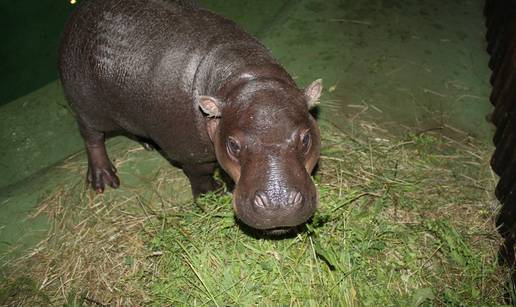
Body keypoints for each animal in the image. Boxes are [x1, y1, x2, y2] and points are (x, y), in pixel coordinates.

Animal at [59, 0, 322, 232]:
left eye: (306, 139)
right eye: (233, 145)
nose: (279, 206)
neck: (247, 78)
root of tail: (79, 13)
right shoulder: (190, 153)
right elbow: (199, 173)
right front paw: (212, 194)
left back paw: (147, 144)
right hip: (87, 108)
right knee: (91, 136)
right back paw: (104, 179)